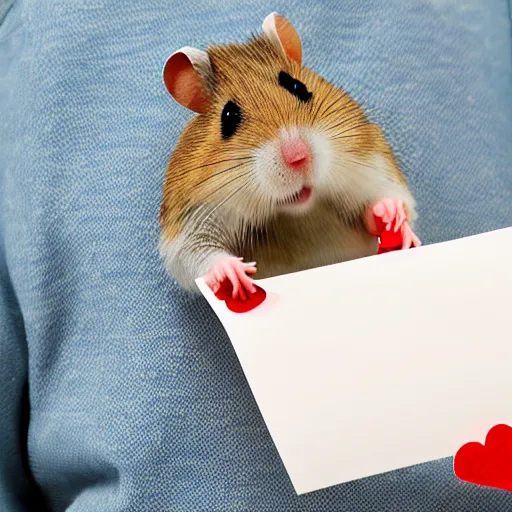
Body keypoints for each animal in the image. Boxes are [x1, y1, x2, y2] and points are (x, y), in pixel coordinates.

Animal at [160, 12, 420, 298]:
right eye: (228, 116)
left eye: (297, 86)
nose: (298, 158)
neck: (295, 213)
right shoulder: (192, 219)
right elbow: (197, 253)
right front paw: (234, 272)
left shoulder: (370, 163)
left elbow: (387, 199)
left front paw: (391, 214)